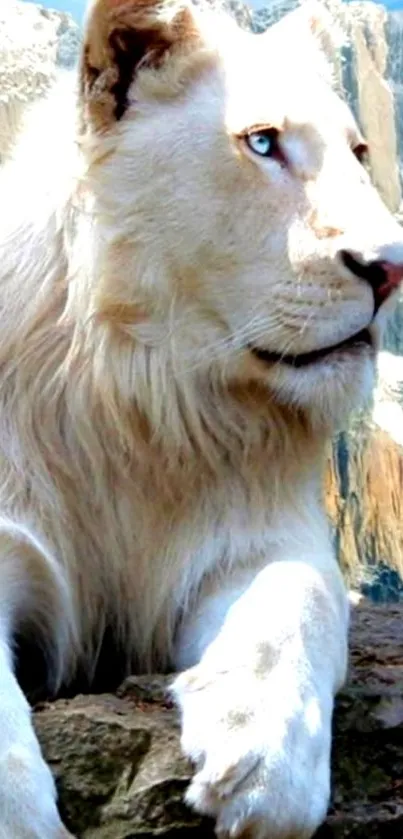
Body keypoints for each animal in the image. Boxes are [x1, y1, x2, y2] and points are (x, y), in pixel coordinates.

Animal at [0, 1, 400, 839]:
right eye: (262, 142)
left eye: (358, 152)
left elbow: (299, 598)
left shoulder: (265, 526)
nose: (391, 269)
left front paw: (263, 765)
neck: (144, 400)